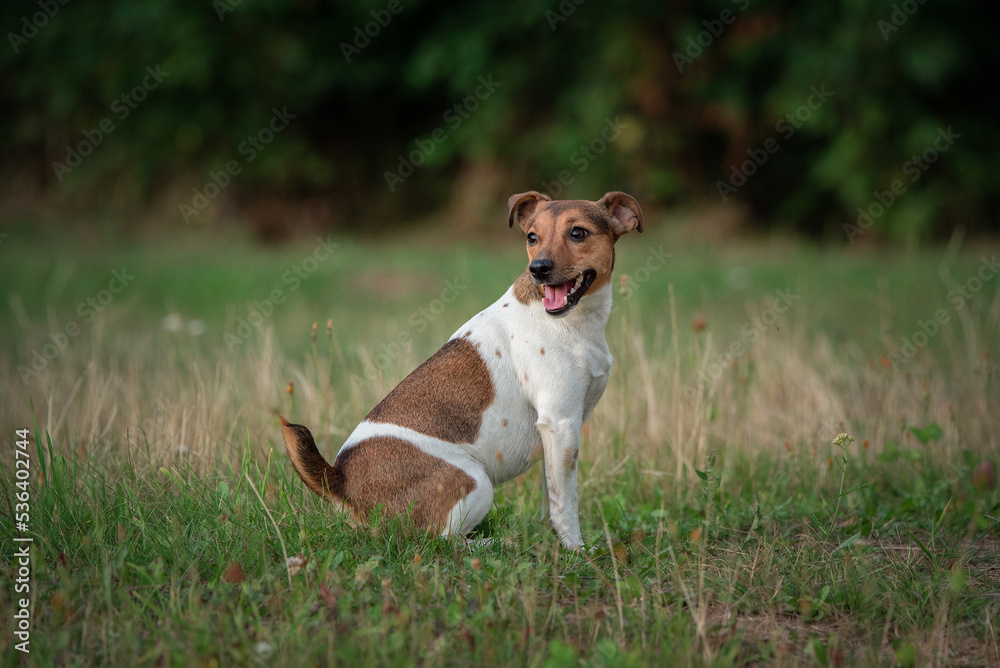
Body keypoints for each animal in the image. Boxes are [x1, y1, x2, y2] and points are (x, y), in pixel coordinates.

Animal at [278, 189, 644, 548]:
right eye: (532, 237)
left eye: (578, 233)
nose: (538, 268)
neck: (574, 322)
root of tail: (340, 481)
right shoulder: (561, 422)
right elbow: (566, 502)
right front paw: (576, 550)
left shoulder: (556, 434)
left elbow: (551, 497)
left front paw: (551, 543)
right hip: (476, 483)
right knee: (442, 542)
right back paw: (498, 543)